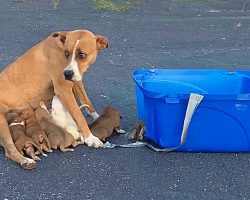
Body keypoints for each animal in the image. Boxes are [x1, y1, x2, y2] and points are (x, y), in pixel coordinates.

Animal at [0, 29, 108, 169]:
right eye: (66, 53)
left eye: (82, 55)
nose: (67, 74)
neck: (60, 47)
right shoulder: (64, 89)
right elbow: (79, 117)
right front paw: (90, 138)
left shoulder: (76, 82)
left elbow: (87, 103)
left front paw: (98, 118)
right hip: (2, 123)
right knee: (10, 149)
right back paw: (26, 161)